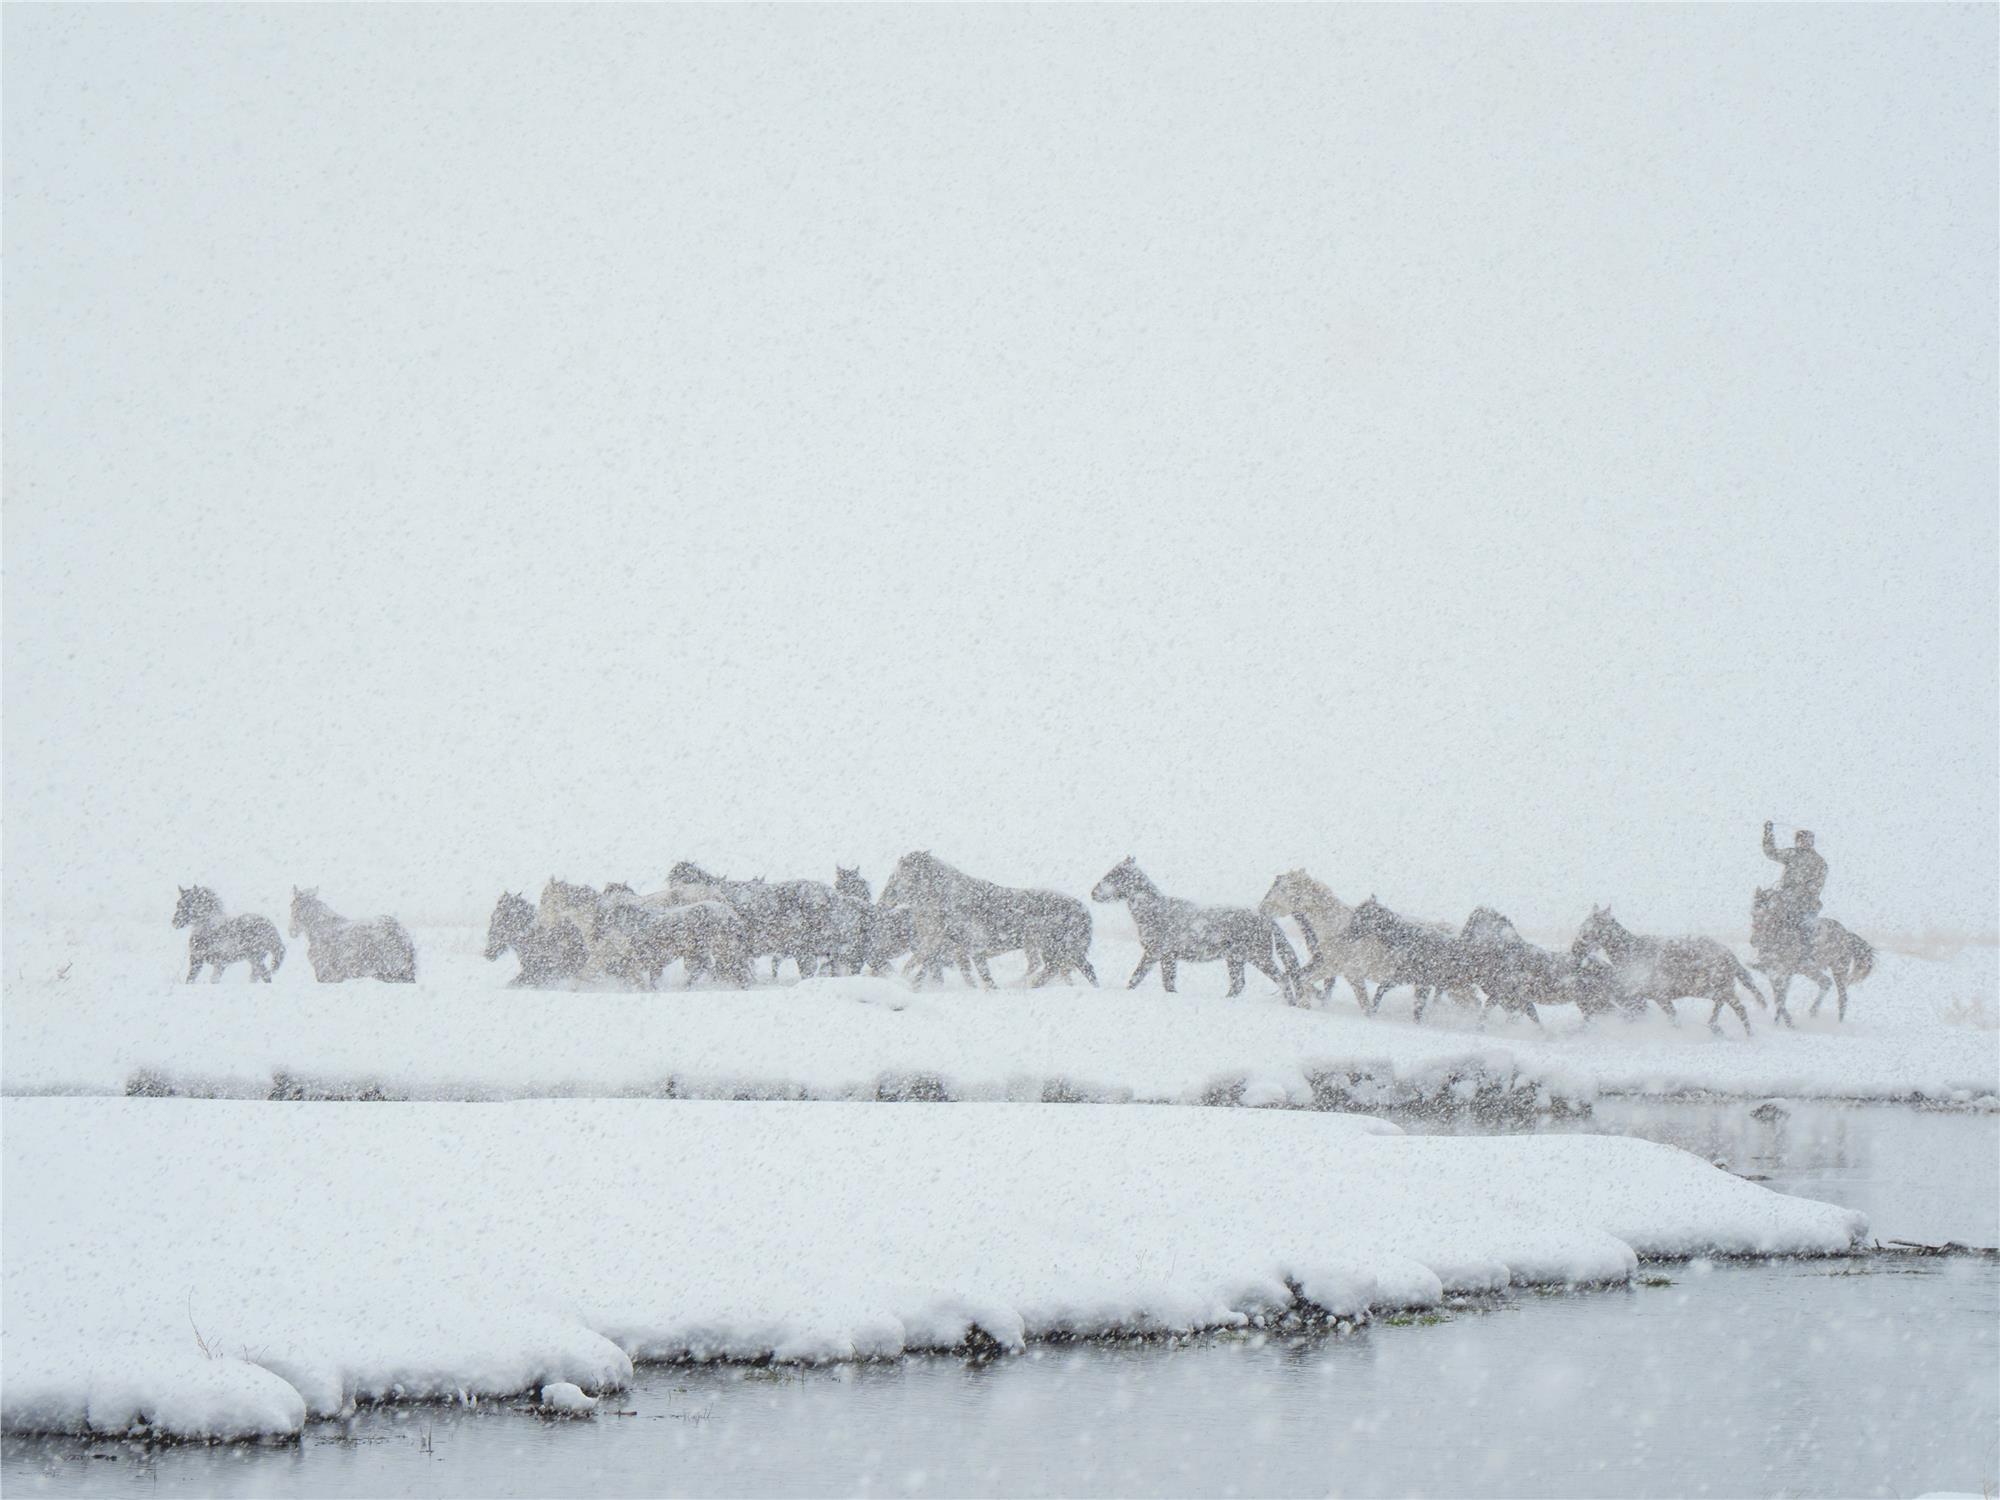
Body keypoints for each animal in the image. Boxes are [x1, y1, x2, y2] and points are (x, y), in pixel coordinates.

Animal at [1088, 864, 1304, 1004]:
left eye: (1114, 875)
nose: (1093, 893)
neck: (1153, 912)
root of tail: (1267, 918)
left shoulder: (1155, 952)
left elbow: (1138, 976)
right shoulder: (1167, 956)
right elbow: (1166, 981)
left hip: (1258, 956)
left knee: (1281, 979)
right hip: (1235, 958)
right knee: (1238, 984)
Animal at [1576, 912, 1768, 1040]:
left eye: (1590, 929)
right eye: (1582, 925)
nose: (1577, 947)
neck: (1632, 953)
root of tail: (1729, 954)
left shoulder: (1659, 996)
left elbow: (1672, 1018)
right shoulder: (1641, 998)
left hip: (1718, 988)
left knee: (1737, 1008)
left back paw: (1740, 1033)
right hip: (1714, 989)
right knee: (1728, 1005)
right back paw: (1725, 1029)